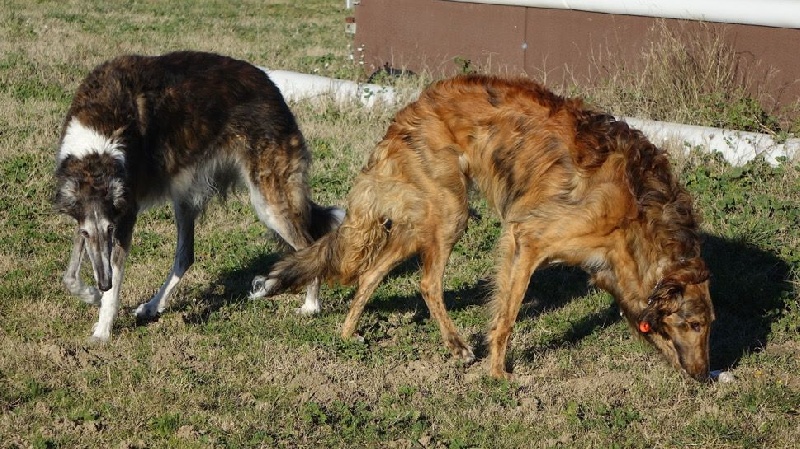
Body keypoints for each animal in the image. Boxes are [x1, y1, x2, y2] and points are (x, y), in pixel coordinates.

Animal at [53, 51, 343, 343]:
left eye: (110, 229)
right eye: (87, 233)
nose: (103, 283)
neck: (95, 146)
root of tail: (271, 86)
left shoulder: (125, 214)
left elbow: (113, 285)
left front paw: (102, 330)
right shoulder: (88, 219)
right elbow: (69, 275)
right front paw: (90, 294)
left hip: (267, 201)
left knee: (309, 246)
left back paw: (310, 306)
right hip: (187, 196)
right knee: (185, 256)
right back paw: (154, 305)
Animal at [250, 74, 715, 381]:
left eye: (708, 324)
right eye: (695, 325)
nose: (703, 376)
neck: (639, 210)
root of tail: (411, 109)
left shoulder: (568, 257)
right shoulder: (528, 239)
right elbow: (507, 315)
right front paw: (499, 375)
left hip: (424, 220)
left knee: (371, 273)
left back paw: (348, 334)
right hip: (451, 213)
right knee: (427, 282)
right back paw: (457, 346)